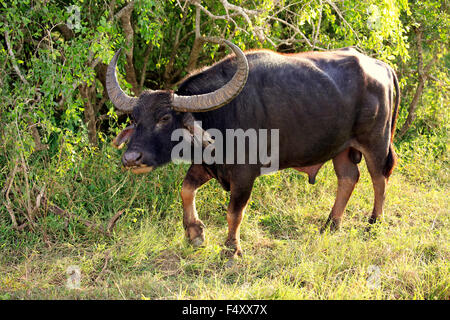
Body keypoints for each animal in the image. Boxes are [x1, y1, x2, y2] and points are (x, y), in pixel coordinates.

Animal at [106, 38, 400, 258]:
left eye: (165, 118)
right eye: (135, 119)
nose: (131, 158)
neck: (220, 117)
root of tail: (383, 67)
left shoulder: (245, 174)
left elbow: (234, 212)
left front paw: (231, 249)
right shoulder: (206, 165)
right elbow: (186, 190)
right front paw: (195, 233)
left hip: (375, 142)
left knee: (379, 179)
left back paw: (374, 223)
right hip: (341, 148)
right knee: (348, 178)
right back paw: (330, 225)